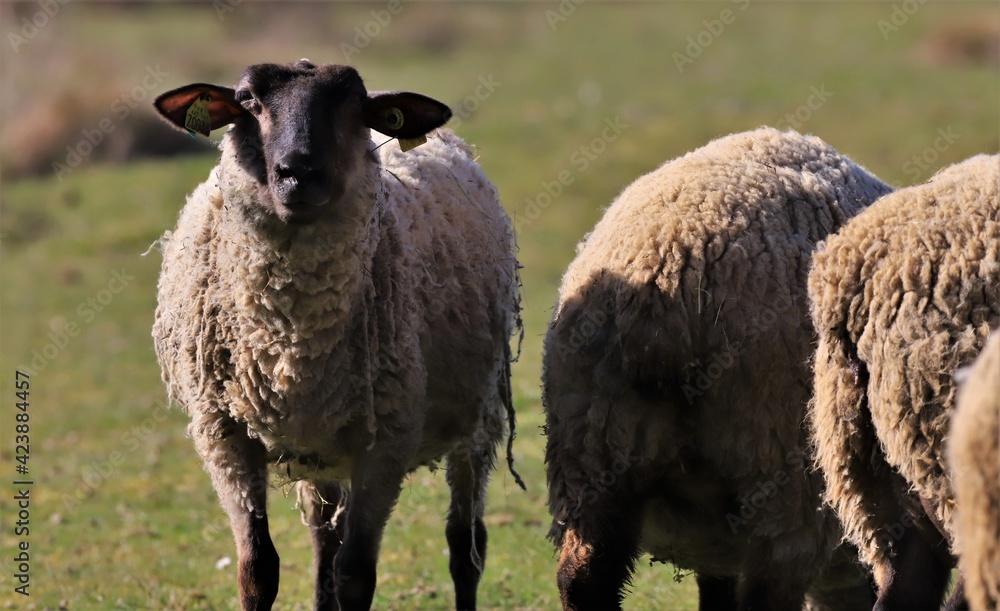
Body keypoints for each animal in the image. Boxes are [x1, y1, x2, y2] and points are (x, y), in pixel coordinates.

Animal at [150, 59, 523, 610]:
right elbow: (258, 569)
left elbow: (355, 574)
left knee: (465, 544)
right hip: (320, 444)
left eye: (354, 103)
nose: (299, 173)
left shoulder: (386, 438)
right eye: (247, 100)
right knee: (324, 539)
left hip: (478, 415)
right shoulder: (225, 435)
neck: (289, 340)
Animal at [543, 126, 893, 610]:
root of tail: (668, 265)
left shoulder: (716, 544)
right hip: (783, 470)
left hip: (592, 456)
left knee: (581, 580)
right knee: (770, 592)